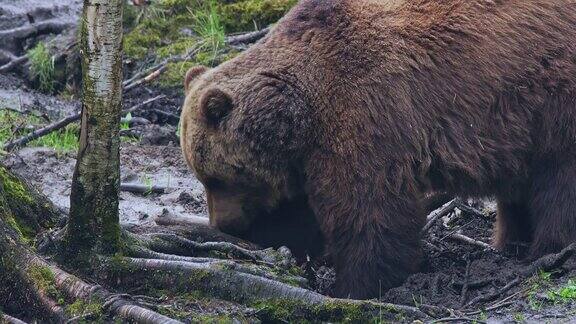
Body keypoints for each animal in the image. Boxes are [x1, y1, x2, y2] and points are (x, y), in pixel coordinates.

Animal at [182, 0, 576, 298]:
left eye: (217, 177)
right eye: (202, 176)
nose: (224, 224)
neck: (301, 108)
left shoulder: (364, 110)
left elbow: (368, 210)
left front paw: (356, 285)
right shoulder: (308, 154)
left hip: (549, 95)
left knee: (558, 180)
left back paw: (549, 248)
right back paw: (510, 243)